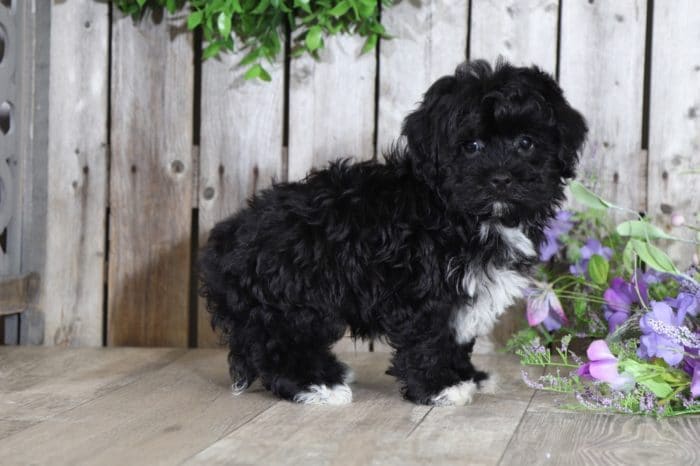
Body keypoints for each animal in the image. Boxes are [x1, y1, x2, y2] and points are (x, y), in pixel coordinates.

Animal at [200, 61, 588, 404]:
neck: (462, 214)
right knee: (281, 346)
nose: (501, 178)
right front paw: (440, 387)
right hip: (292, 298)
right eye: (471, 146)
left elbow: (458, 334)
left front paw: (467, 375)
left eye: (526, 143)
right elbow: (429, 336)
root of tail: (225, 238)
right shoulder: (422, 290)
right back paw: (316, 385)